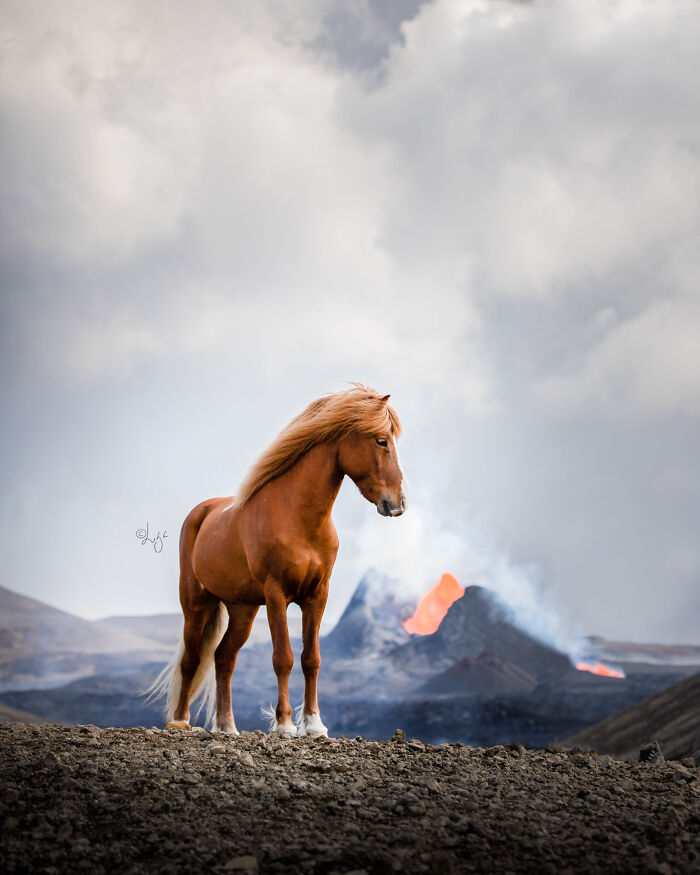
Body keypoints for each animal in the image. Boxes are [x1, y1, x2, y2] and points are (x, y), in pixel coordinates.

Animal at [146, 385, 407, 737]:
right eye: (381, 440)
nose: (398, 503)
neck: (298, 517)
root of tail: (202, 512)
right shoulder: (276, 595)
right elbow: (283, 657)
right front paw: (284, 725)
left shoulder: (317, 596)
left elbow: (311, 659)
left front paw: (314, 725)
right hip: (197, 602)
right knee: (192, 659)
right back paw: (180, 722)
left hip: (242, 609)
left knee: (224, 658)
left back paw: (227, 727)